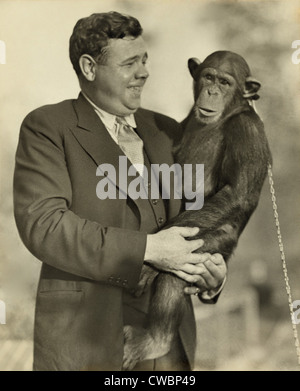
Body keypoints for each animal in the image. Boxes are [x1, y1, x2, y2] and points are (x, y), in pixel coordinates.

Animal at [122, 51, 272, 370]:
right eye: (208, 77)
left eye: (225, 82)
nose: (212, 91)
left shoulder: (249, 131)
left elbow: (236, 193)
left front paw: (144, 266)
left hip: (215, 243)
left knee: (176, 269)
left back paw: (155, 340)